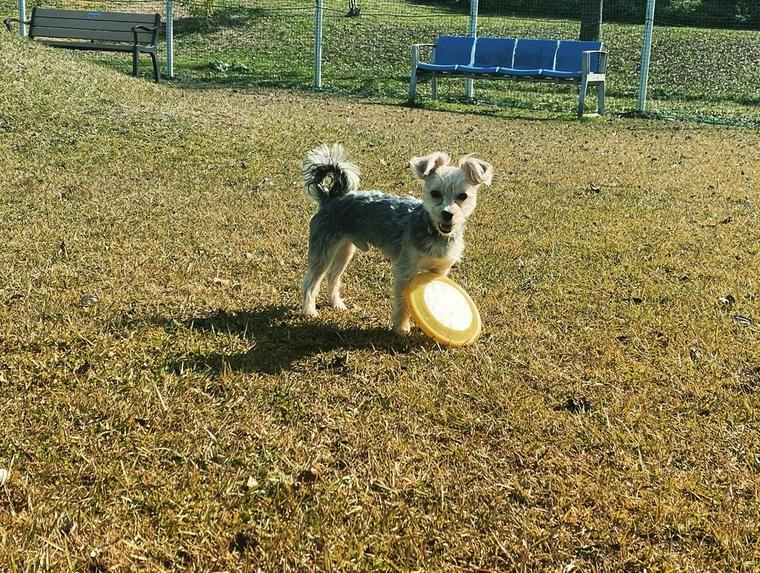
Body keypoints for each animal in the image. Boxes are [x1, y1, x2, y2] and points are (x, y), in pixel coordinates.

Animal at [300, 142, 490, 336]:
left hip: (345, 250)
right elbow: (403, 301)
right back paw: (310, 311)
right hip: (324, 251)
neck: (434, 232)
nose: (447, 214)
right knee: (311, 282)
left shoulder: (439, 270)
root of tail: (330, 198)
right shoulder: (406, 269)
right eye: (435, 193)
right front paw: (402, 328)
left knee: (333, 276)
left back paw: (336, 303)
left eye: (463, 196)